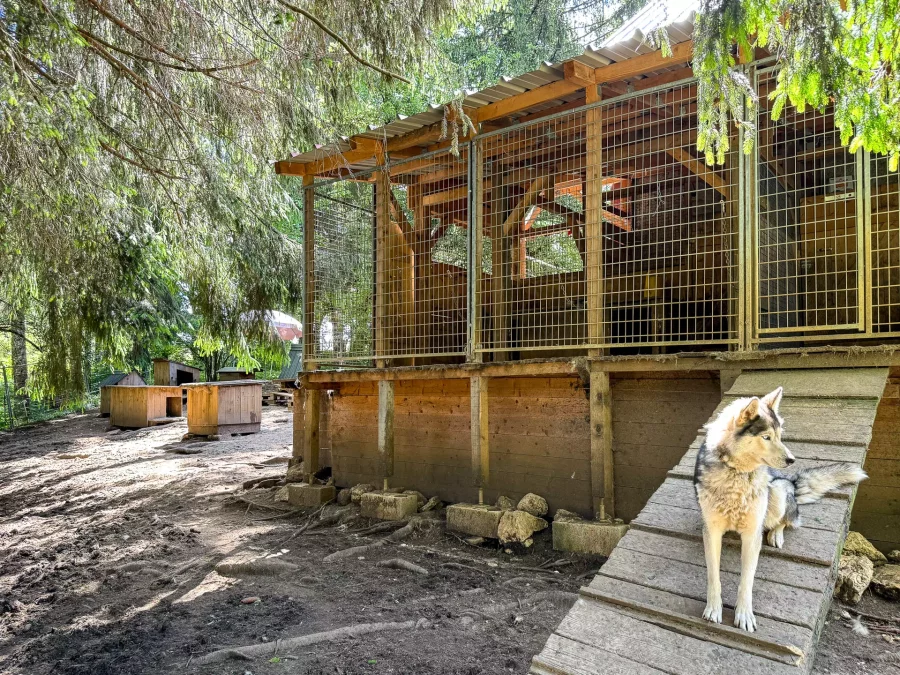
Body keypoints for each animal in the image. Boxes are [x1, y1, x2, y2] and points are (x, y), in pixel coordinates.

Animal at [696, 386, 864, 632]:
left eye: (780, 436)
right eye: (766, 437)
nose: (792, 459)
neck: (737, 474)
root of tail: (791, 481)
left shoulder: (752, 534)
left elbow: (746, 581)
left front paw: (744, 614)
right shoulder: (712, 532)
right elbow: (713, 576)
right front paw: (713, 609)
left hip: (776, 491)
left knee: (786, 519)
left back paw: (777, 534)